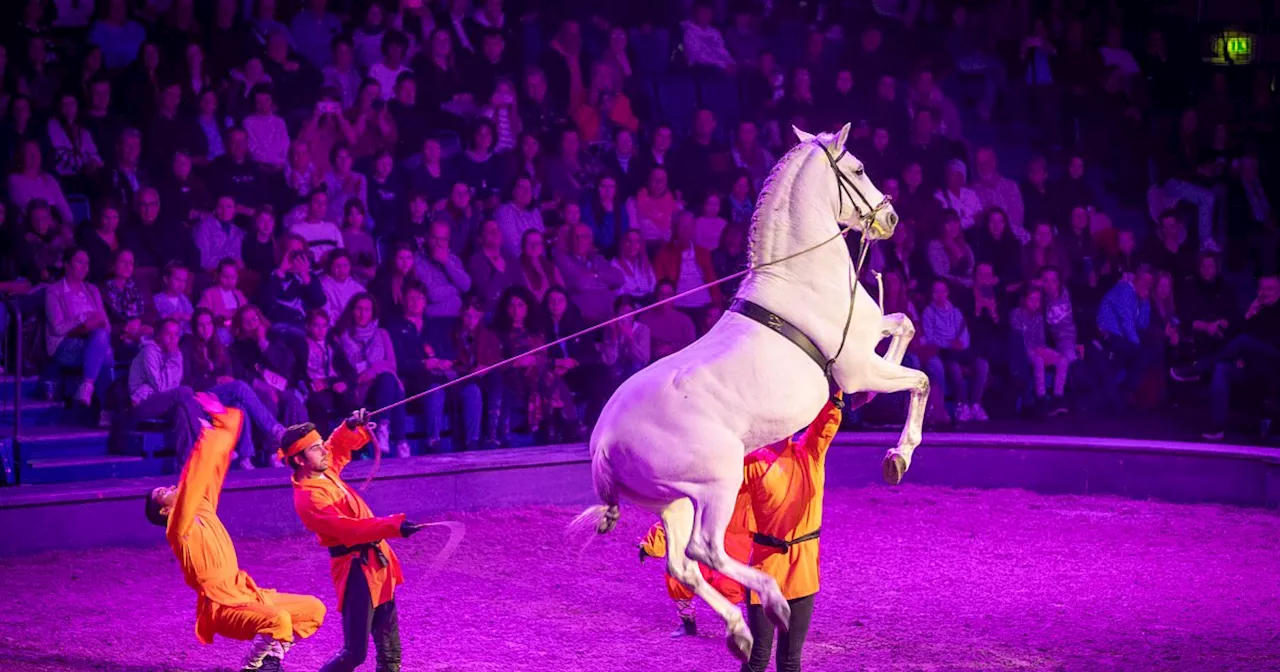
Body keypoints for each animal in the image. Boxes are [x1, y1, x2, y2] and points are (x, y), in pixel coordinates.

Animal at [581, 122, 931, 655]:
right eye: (857, 169)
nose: (889, 217)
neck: (801, 277)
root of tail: (604, 440)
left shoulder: (871, 338)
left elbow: (904, 324)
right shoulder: (857, 366)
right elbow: (919, 379)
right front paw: (898, 457)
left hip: (674, 499)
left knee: (682, 563)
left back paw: (740, 630)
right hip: (718, 483)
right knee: (704, 550)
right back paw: (770, 599)